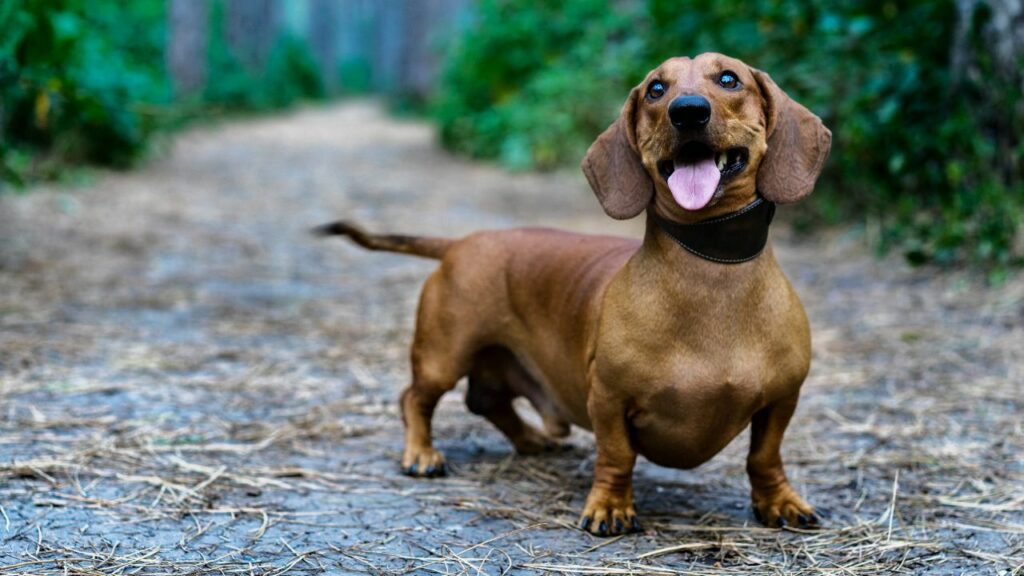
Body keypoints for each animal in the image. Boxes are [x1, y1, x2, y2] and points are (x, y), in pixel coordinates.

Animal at [319, 53, 831, 532]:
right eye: (655, 89)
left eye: (729, 79)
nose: (687, 111)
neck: (710, 267)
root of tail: (461, 242)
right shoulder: (607, 398)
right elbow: (617, 456)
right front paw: (610, 507)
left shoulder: (783, 399)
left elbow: (764, 456)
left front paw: (779, 502)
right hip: (443, 355)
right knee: (415, 399)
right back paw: (422, 454)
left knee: (486, 401)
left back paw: (531, 439)